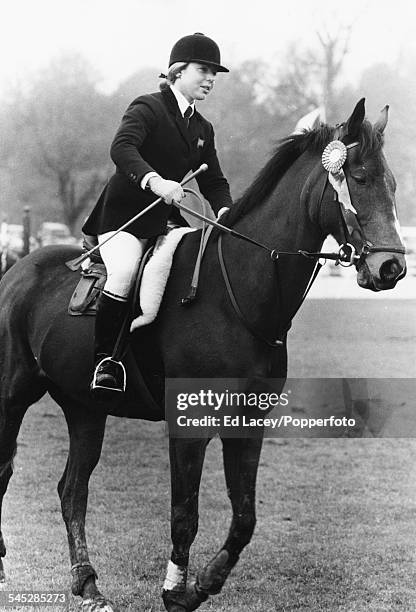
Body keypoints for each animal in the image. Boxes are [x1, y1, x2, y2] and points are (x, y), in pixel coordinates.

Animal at [0, 100, 406, 608]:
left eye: (392, 184)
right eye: (361, 178)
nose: (391, 268)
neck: (236, 292)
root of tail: (18, 268)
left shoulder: (248, 423)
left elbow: (245, 517)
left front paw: (203, 584)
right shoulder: (188, 425)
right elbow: (184, 514)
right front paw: (176, 590)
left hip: (85, 408)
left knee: (72, 489)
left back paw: (88, 583)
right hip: (12, 396)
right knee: (7, 471)